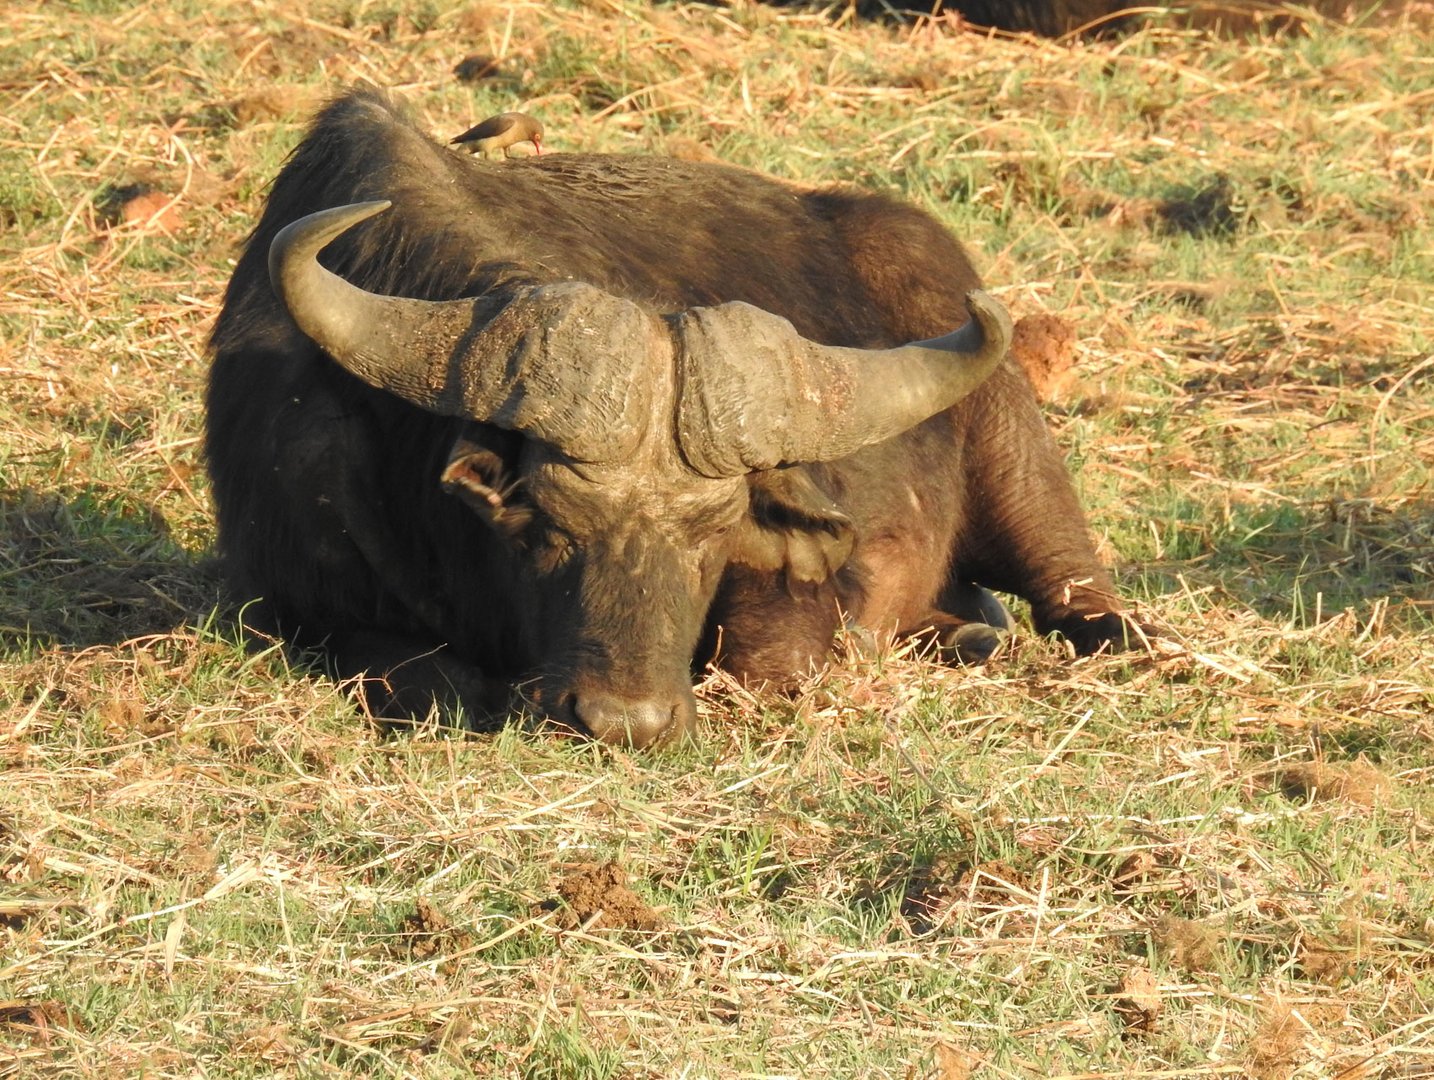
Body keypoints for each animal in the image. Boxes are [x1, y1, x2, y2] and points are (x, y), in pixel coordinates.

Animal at [207, 88, 1135, 751]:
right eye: (545, 523)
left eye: (714, 534)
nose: (627, 722)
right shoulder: (299, 593)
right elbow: (431, 678)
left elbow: (771, 659)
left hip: (1018, 456)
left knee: (1075, 591)